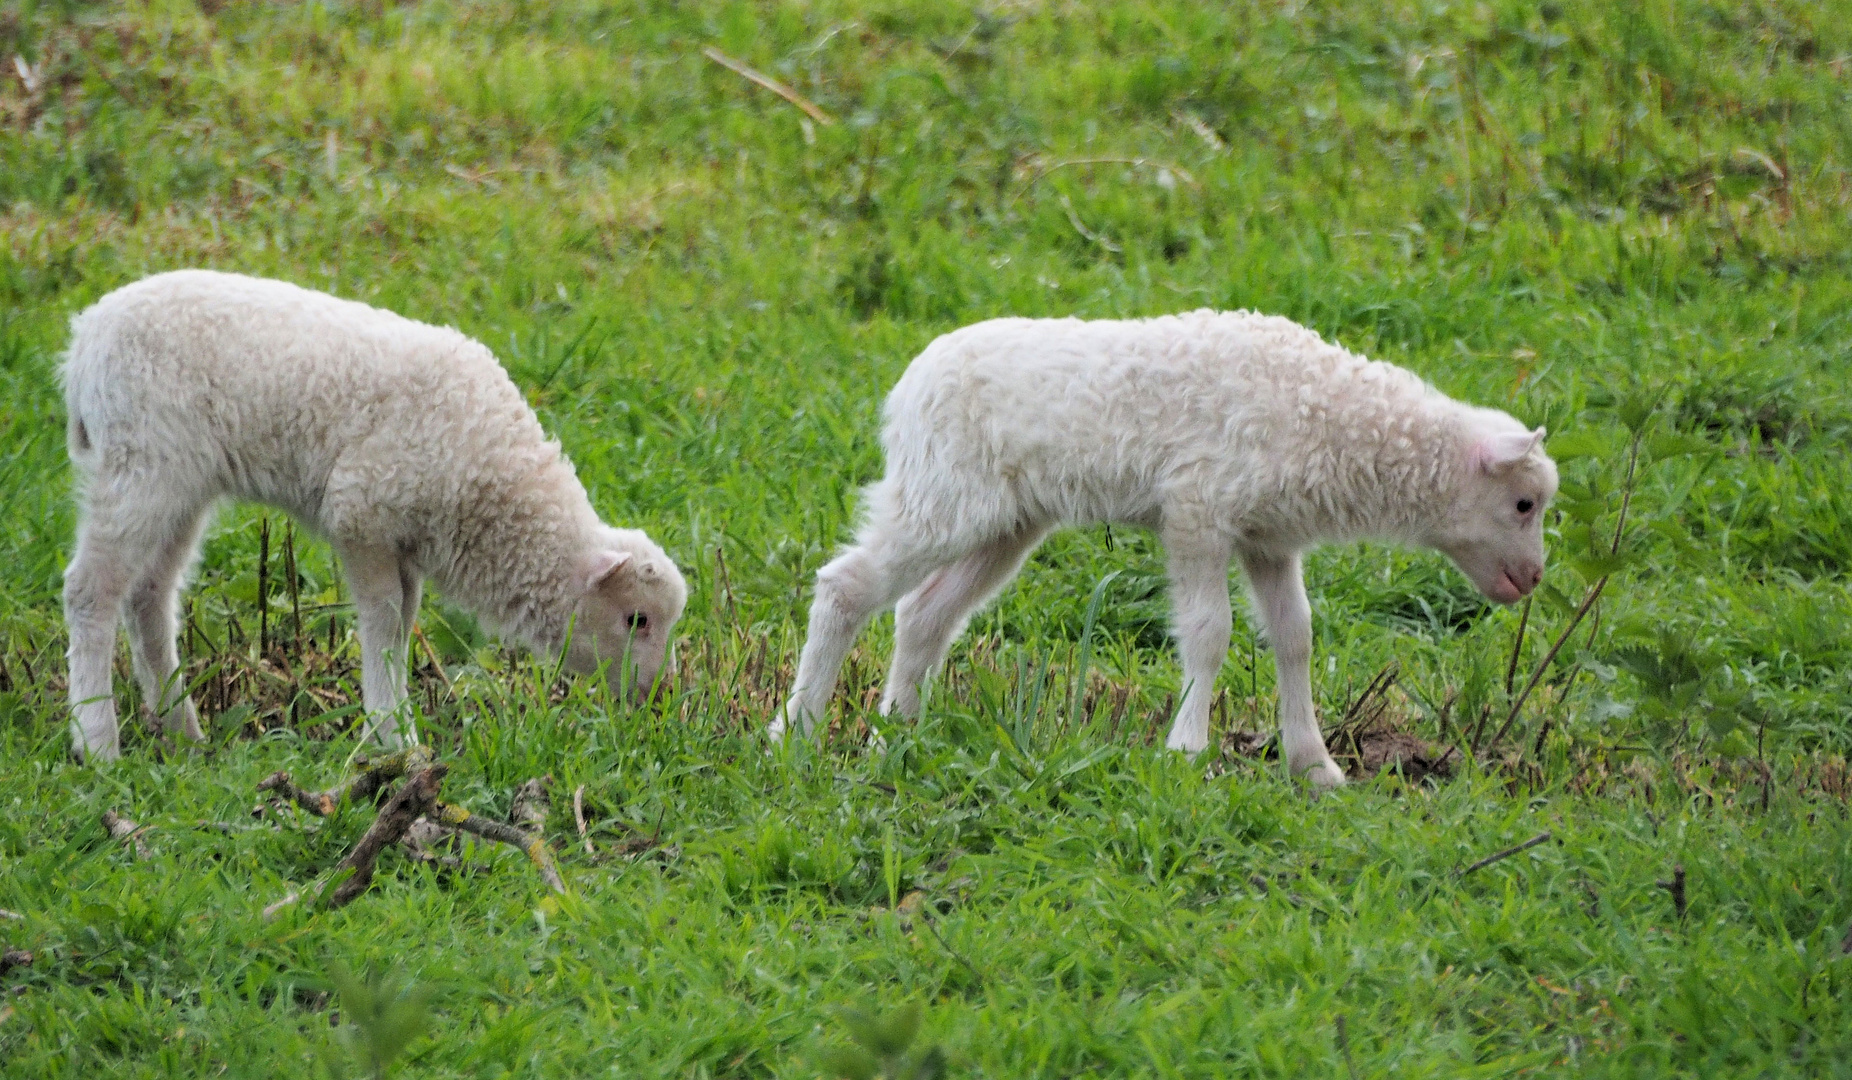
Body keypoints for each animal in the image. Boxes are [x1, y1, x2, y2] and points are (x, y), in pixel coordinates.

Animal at [65, 270, 692, 759]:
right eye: (637, 620)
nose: (658, 698)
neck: (496, 477)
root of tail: (83, 341)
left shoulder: (407, 538)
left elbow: (407, 617)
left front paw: (391, 728)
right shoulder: (361, 513)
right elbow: (386, 620)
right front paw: (394, 736)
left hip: (181, 484)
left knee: (149, 595)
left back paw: (181, 732)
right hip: (143, 464)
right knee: (90, 589)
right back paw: (97, 742)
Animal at [774, 311, 1555, 785]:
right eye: (1524, 504)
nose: (1531, 579)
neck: (1327, 414)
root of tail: (906, 387)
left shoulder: (1268, 536)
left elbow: (1295, 636)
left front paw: (1315, 767)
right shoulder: (1197, 510)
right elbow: (1210, 631)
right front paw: (1187, 750)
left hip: (1004, 524)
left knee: (924, 615)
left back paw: (897, 735)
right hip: (944, 497)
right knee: (847, 585)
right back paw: (797, 732)